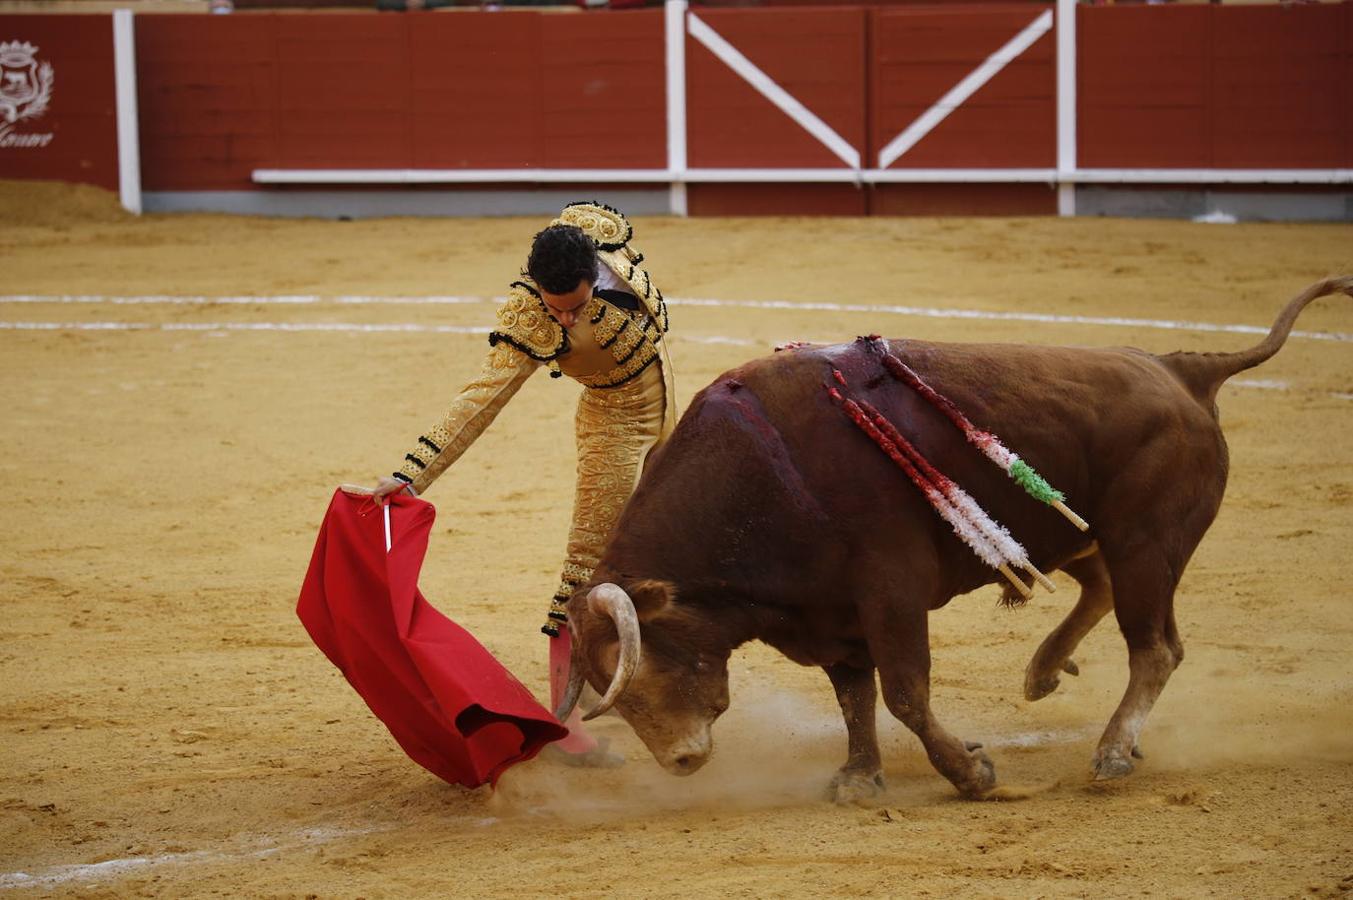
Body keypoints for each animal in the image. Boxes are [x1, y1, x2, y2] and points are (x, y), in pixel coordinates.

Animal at [552, 277, 1353, 795]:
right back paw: (1043, 672)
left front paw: (970, 773)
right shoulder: (832, 613)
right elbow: (855, 694)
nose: (681, 762)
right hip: (1079, 533)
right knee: (1099, 592)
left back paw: (1111, 753)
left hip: (1146, 544)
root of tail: (1182, 370)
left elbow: (905, 691)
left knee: (1154, 646)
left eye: (642, 666)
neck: (765, 471)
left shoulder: (889, 592)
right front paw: (859, 776)